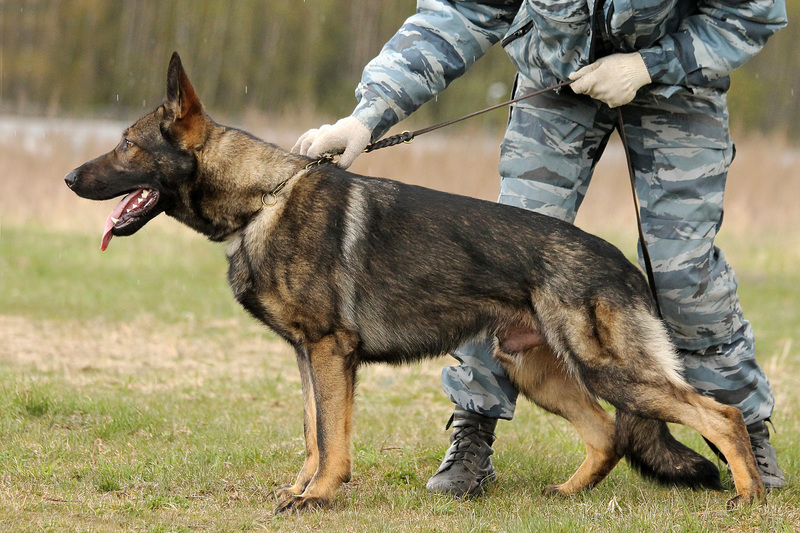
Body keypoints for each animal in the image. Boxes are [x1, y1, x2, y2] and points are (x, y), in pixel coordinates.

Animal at [64, 53, 764, 512]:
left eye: (126, 145)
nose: (69, 178)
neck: (263, 196)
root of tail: (622, 263)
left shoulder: (330, 353)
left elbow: (333, 439)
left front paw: (319, 497)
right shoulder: (306, 356)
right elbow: (313, 432)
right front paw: (299, 488)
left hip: (606, 369)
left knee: (722, 415)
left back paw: (749, 498)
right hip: (535, 369)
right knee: (607, 433)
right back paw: (566, 493)